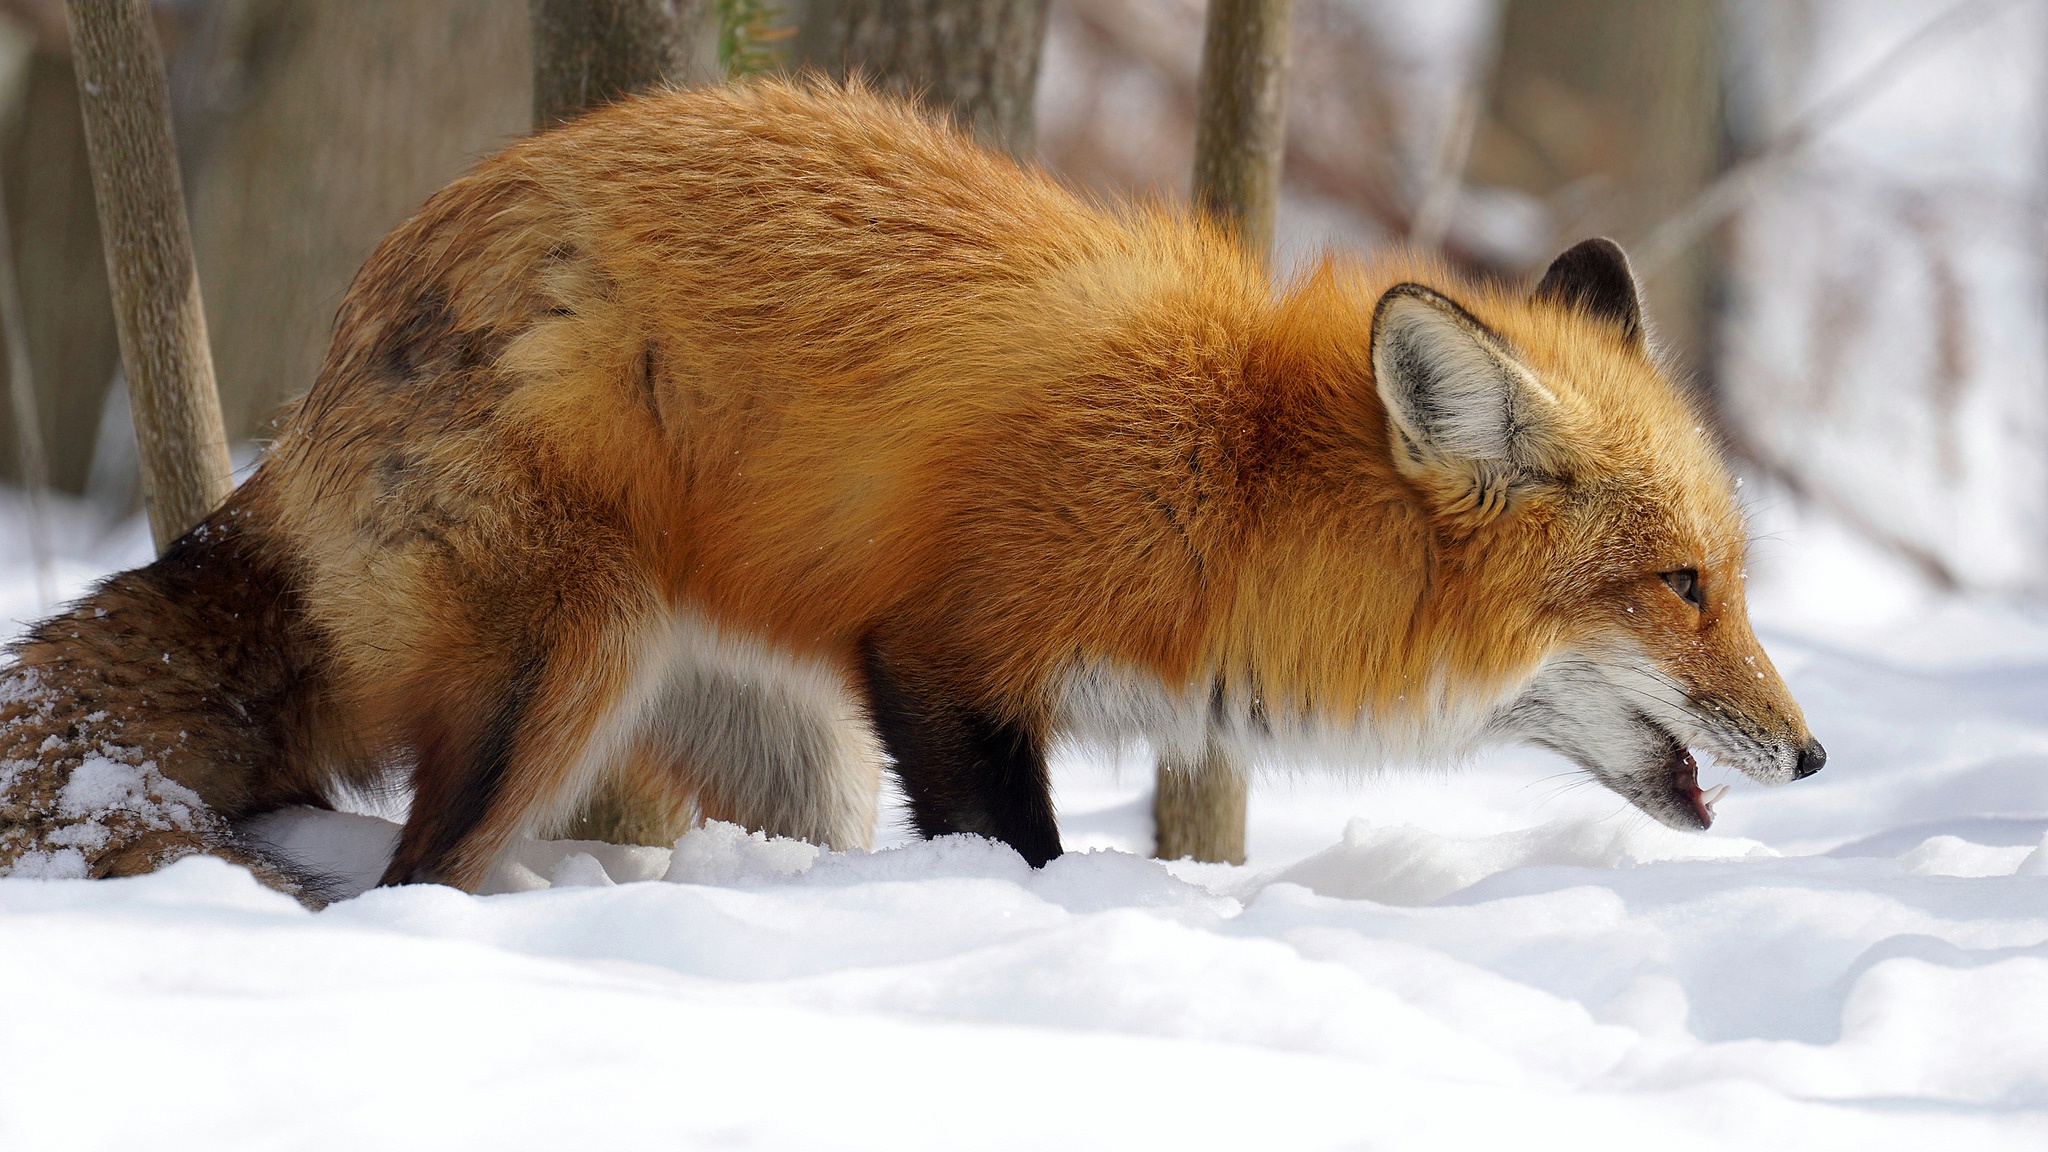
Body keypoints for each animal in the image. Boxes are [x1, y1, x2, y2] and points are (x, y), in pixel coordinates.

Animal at [0, 80, 1826, 893]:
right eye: (1681, 588)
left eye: (1735, 581)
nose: (1813, 755)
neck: (1230, 483)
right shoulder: (944, 659)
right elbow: (1020, 848)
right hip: (551, 680)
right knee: (410, 875)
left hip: (789, 763)